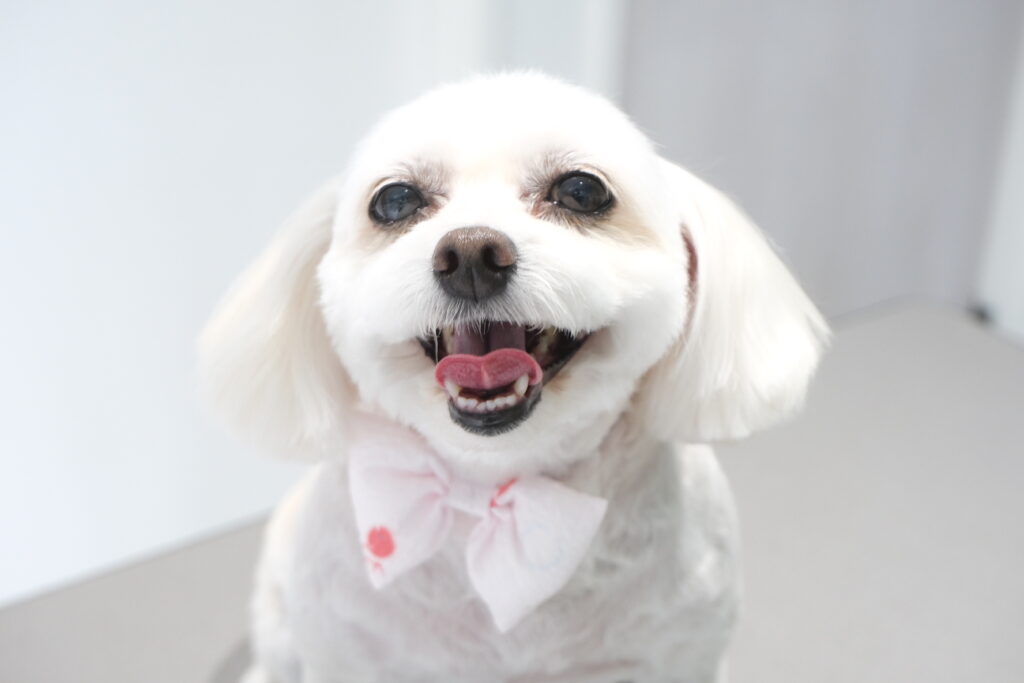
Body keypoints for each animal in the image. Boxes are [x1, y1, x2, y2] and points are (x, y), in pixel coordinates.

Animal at [199, 72, 828, 682]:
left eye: (582, 191)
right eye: (395, 200)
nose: (471, 255)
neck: (488, 487)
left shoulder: (683, 654)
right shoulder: (347, 654)